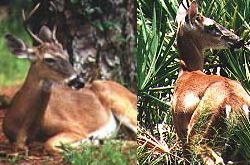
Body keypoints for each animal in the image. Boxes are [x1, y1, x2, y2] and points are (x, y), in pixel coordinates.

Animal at [2, 24, 137, 155]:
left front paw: (89, 143)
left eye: (66, 55)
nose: (79, 81)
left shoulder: (75, 128)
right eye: (49, 59)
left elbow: (49, 144)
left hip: (125, 108)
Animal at [172, 0, 248, 164]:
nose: (239, 40)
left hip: (199, 131)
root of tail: (235, 105)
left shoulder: (178, 126)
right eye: (211, 25)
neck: (187, 72)